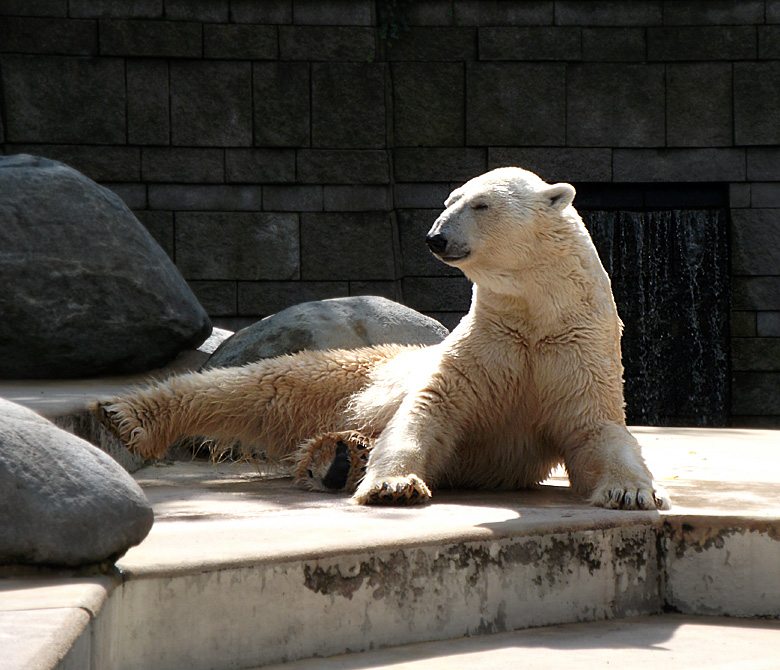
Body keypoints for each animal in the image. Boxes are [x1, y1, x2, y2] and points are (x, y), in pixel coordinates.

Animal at [97, 168, 672, 510]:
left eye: (481, 205)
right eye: (450, 199)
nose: (436, 237)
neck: (534, 319)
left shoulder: (573, 356)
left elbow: (598, 432)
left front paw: (630, 492)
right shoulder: (481, 351)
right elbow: (426, 412)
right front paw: (394, 485)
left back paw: (339, 458)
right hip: (356, 369)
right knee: (262, 387)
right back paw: (129, 415)